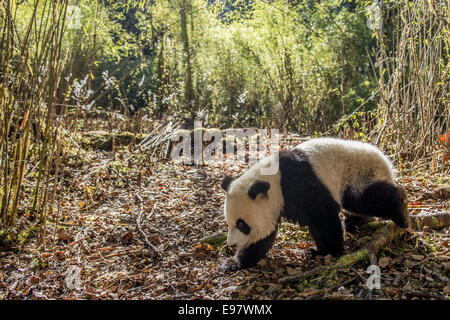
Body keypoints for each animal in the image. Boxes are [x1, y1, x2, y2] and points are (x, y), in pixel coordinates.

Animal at [220, 138, 410, 270]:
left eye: (242, 224)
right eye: (229, 223)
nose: (232, 245)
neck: (273, 180)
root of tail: (385, 162)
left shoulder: (299, 187)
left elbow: (322, 217)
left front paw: (327, 251)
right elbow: (262, 237)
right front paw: (234, 262)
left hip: (357, 174)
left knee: (365, 198)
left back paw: (401, 213)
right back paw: (355, 222)